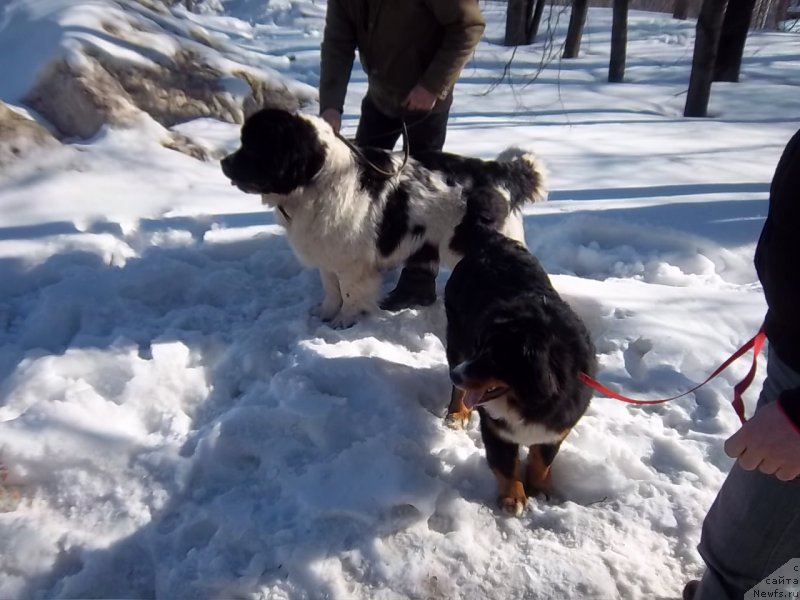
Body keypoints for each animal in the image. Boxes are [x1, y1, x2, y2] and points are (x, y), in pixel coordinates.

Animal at [222, 108, 548, 328]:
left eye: (253, 145)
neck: (315, 178)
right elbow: (331, 289)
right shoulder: (328, 255)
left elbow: (350, 293)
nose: (224, 162)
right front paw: (326, 313)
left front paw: (343, 322)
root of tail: (500, 171)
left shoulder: (352, 262)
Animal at [446, 191, 596, 516]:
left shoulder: (557, 428)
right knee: (457, 391)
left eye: (494, 358)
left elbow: (542, 460)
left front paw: (540, 490)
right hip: (456, 338)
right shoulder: (495, 428)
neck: (526, 401)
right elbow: (505, 465)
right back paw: (457, 412)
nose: (457, 374)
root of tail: (492, 240)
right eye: (480, 347)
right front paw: (514, 498)